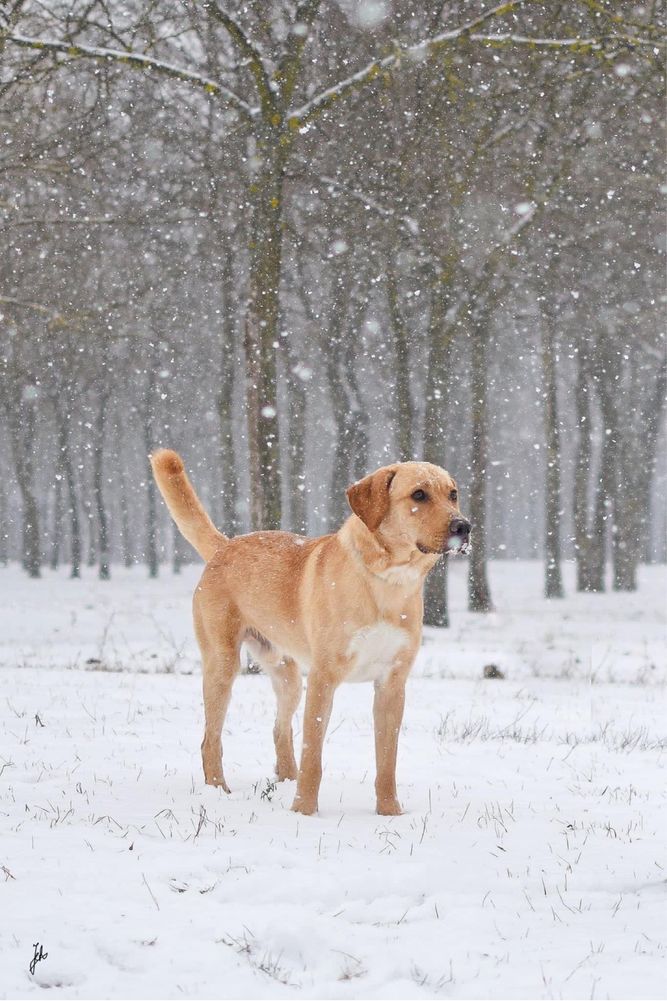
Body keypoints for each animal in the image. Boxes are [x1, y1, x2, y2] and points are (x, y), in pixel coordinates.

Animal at [150, 450, 470, 816]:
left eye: (453, 494)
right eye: (419, 494)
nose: (464, 527)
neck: (387, 581)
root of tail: (225, 546)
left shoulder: (392, 683)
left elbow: (387, 760)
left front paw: (390, 813)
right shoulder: (324, 678)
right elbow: (313, 755)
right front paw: (304, 811)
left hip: (287, 676)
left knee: (279, 730)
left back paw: (285, 779)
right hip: (223, 666)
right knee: (210, 740)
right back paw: (219, 790)